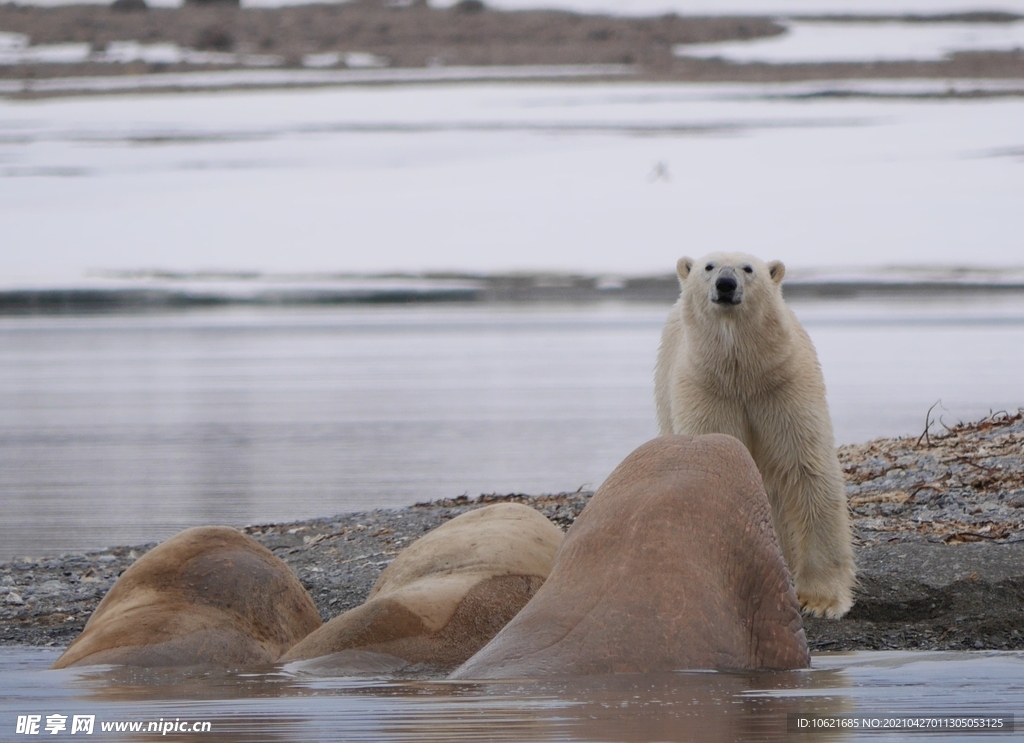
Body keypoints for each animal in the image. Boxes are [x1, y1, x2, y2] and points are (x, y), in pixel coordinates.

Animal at [655, 252, 856, 618]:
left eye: (748, 268)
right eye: (709, 267)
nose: (726, 284)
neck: (743, 375)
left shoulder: (783, 388)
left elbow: (806, 470)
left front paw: (820, 600)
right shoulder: (707, 391)